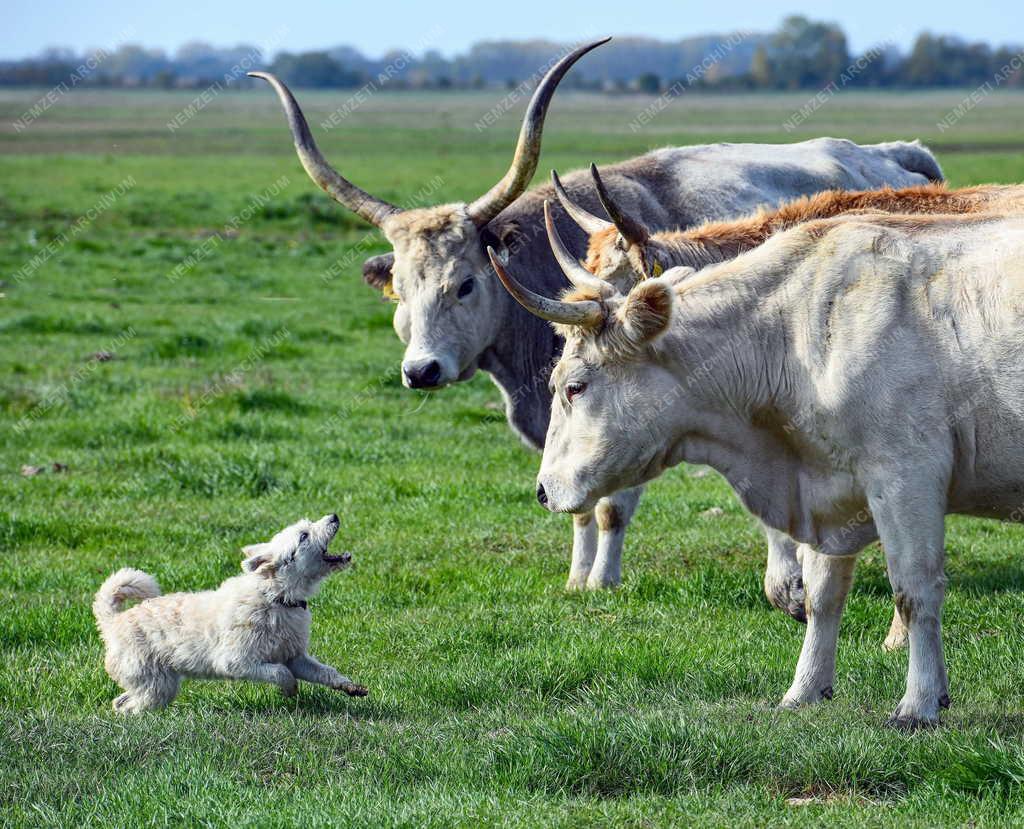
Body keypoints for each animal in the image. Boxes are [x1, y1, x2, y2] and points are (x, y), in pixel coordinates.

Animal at [93, 509, 368, 712]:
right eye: (303, 536)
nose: (334, 516)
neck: (276, 598)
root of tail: (112, 622)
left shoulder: (295, 656)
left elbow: (324, 671)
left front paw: (349, 686)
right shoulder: (237, 661)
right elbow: (281, 672)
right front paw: (290, 689)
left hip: (154, 683)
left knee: (121, 701)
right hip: (155, 682)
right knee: (131, 707)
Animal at [251, 40, 937, 593]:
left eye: (464, 283)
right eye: (397, 289)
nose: (421, 371)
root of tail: (892, 153)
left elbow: (609, 502)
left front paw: (603, 580)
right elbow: (576, 496)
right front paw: (578, 576)